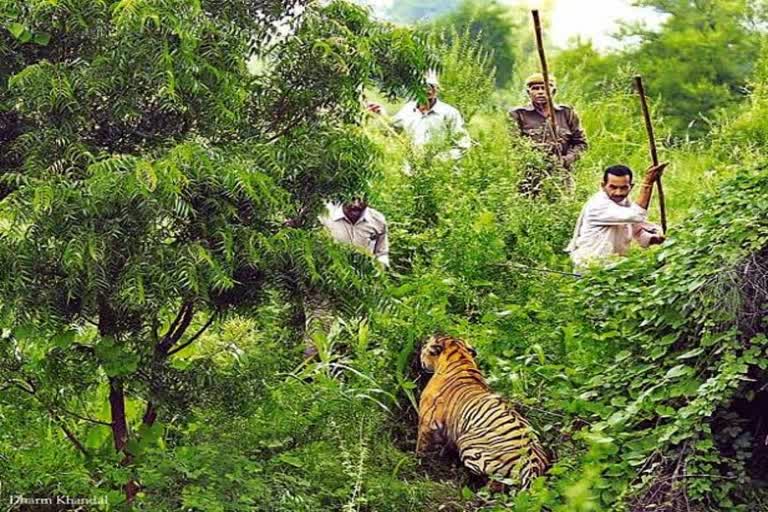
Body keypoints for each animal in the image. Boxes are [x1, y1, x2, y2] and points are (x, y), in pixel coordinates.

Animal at [416, 334, 548, 486]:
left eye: (425, 345)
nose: (422, 341)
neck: (460, 357)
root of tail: (533, 464)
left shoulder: (427, 421)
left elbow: (422, 445)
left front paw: (418, 459)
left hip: (468, 444)